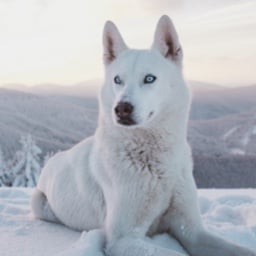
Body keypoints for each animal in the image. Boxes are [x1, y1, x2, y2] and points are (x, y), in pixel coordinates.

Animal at [31, 15, 256, 255]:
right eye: (117, 80)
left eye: (149, 78)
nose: (121, 109)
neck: (154, 161)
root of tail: (54, 158)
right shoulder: (123, 239)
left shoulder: (193, 231)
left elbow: (236, 249)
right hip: (38, 202)